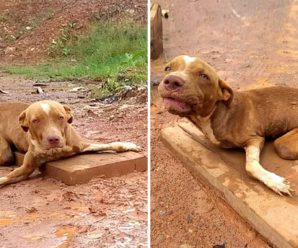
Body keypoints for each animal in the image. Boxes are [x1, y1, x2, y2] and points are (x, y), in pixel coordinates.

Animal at [0, 100, 141, 185]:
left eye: (60, 117)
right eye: (35, 121)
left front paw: (129, 145)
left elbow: (112, 144)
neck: (55, 151)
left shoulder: (81, 145)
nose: (53, 139)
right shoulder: (26, 168)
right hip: (5, 154)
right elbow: (5, 178)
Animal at [159, 55, 296, 196]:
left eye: (204, 76)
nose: (172, 81)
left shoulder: (255, 139)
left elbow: (250, 166)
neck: (214, 114)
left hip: (282, 145)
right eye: (168, 68)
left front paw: (275, 182)